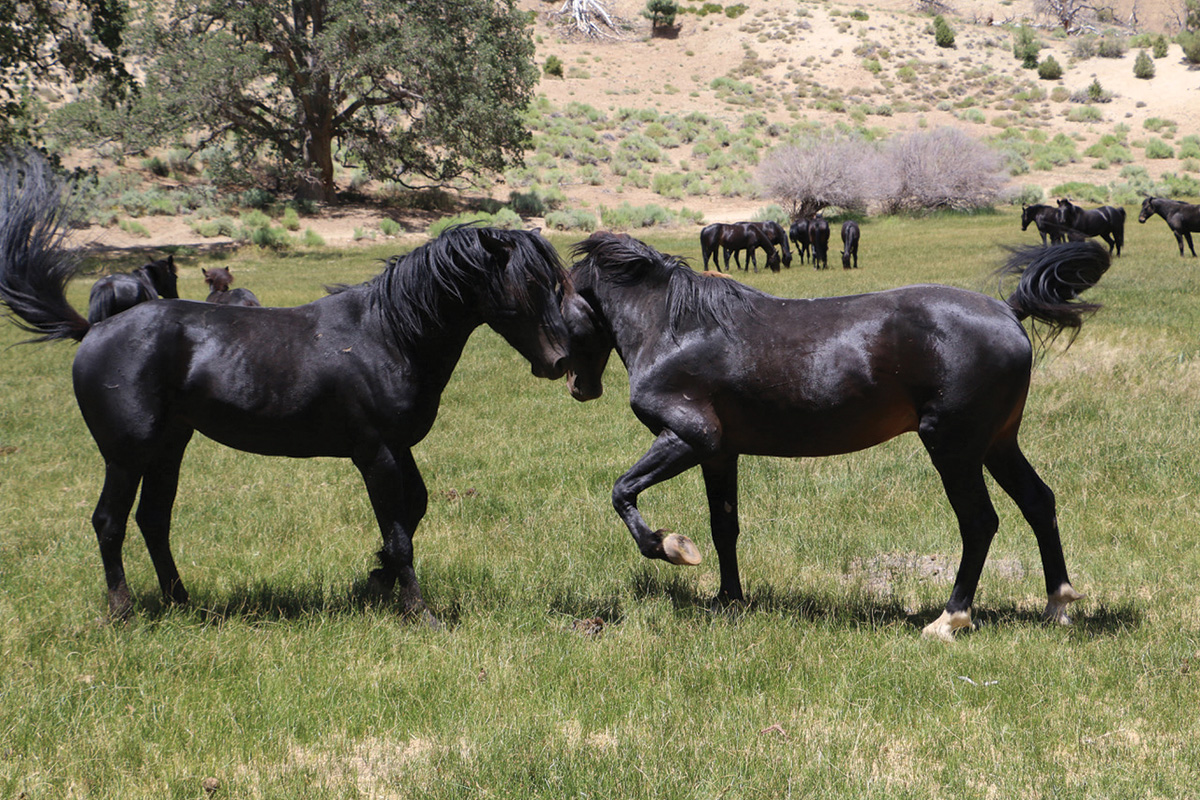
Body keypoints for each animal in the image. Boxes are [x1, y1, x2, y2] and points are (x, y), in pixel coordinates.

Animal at [0, 151, 571, 623]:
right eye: (527, 284)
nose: (560, 361)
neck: (386, 334)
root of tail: (93, 329)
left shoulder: (397, 447)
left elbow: (413, 512)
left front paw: (375, 580)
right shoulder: (377, 453)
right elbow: (400, 531)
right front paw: (417, 609)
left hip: (168, 447)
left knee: (153, 521)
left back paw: (183, 603)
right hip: (126, 454)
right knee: (109, 522)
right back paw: (122, 611)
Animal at [556, 230, 1108, 638]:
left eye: (559, 305)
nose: (576, 385)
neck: (678, 329)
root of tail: (1009, 311)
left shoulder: (690, 439)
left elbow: (622, 493)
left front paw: (672, 547)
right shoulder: (720, 455)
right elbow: (724, 527)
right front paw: (729, 600)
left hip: (953, 447)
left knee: (978, 523)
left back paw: (950, 619)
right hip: (997, 443)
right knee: (1038, 502)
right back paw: (1057, 605)